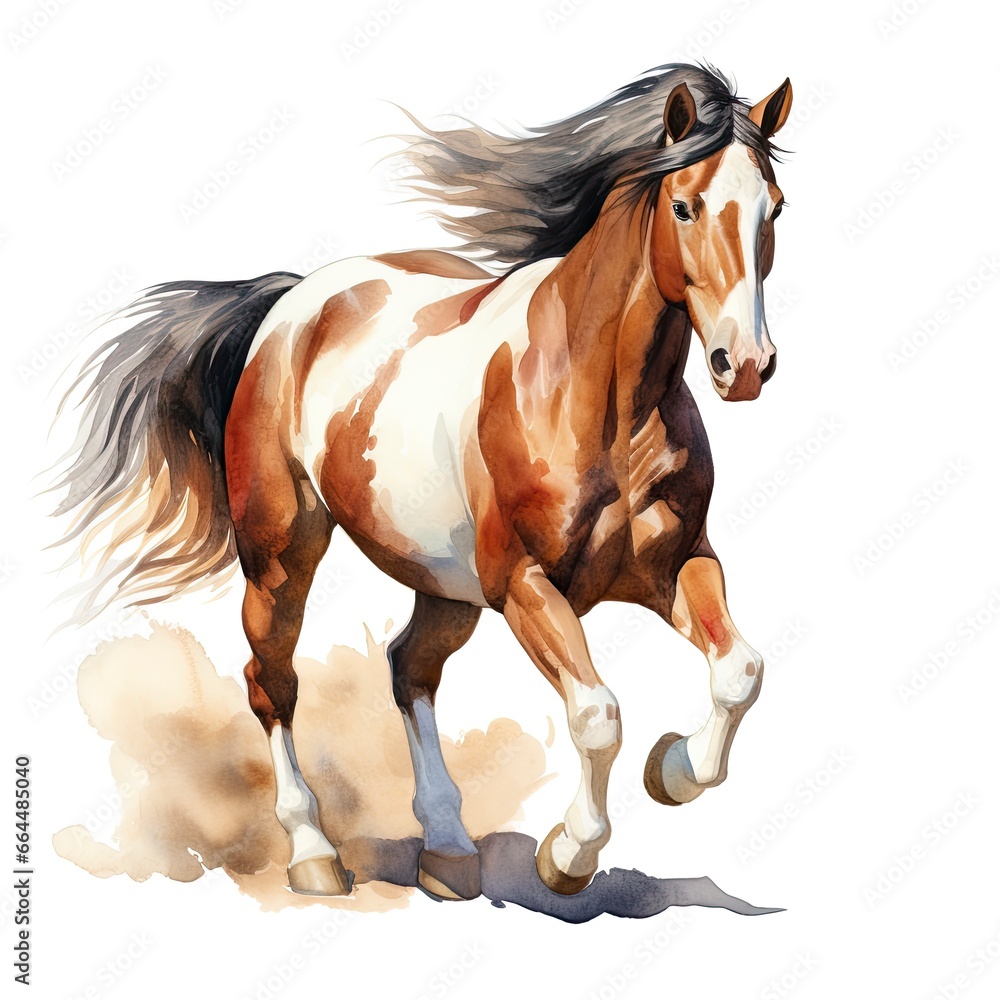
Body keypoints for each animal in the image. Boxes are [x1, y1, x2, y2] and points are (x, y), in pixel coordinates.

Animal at [53, 63, 792, 901]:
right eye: (684, 205)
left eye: (774, 207)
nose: (746, 365)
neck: (601, 403)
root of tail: (291, 303)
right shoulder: (526, 586)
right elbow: (598, 714)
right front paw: (567, 856)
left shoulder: (676, 562)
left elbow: (740, 671)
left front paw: (671, 771)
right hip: (281, 559)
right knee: (272, 681)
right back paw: (315, 855)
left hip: (445, 585)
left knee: (409, 666)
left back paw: (447, 851)